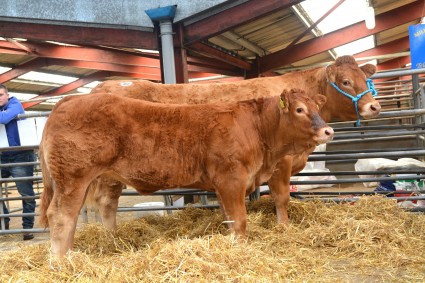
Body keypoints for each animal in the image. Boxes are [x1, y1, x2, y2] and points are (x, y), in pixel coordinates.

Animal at [39, 90, 332, 258]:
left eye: (318, 108)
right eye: (299, 109)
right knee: (61, 217)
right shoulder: (231, 178)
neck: (257, 129)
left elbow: (229, 219)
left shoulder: (223, 185)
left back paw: (71, 254)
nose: (328, 131)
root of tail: (71, 99)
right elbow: (239, 220)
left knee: (76, 216)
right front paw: (240, 248)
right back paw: (59, 261)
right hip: (73, 177)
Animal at [84, 54, 380, 230]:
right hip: (108, 173)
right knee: (106, 202)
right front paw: (283, 227)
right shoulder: (282, 163)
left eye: (366, 79)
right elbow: (282, 197)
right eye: (345, 81)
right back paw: (112, 237)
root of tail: (103, 86)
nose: (374, 106)